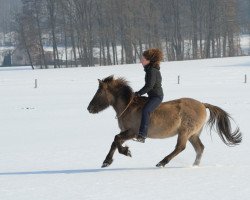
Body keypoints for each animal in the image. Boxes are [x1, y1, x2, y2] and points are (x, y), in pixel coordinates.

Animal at [87, 75, 241, 167]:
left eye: (99, 92)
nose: (89, 108)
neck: (128, 107)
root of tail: (203, 105)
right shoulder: (127, 133)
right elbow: (115, 142)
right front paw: (107, 161)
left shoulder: (132, 132)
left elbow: (116, 139)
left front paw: (126, 152)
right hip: (193, 134)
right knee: (199, 148)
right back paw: (194, 165)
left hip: (185, 132)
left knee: (180, 147)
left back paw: (162, 162)